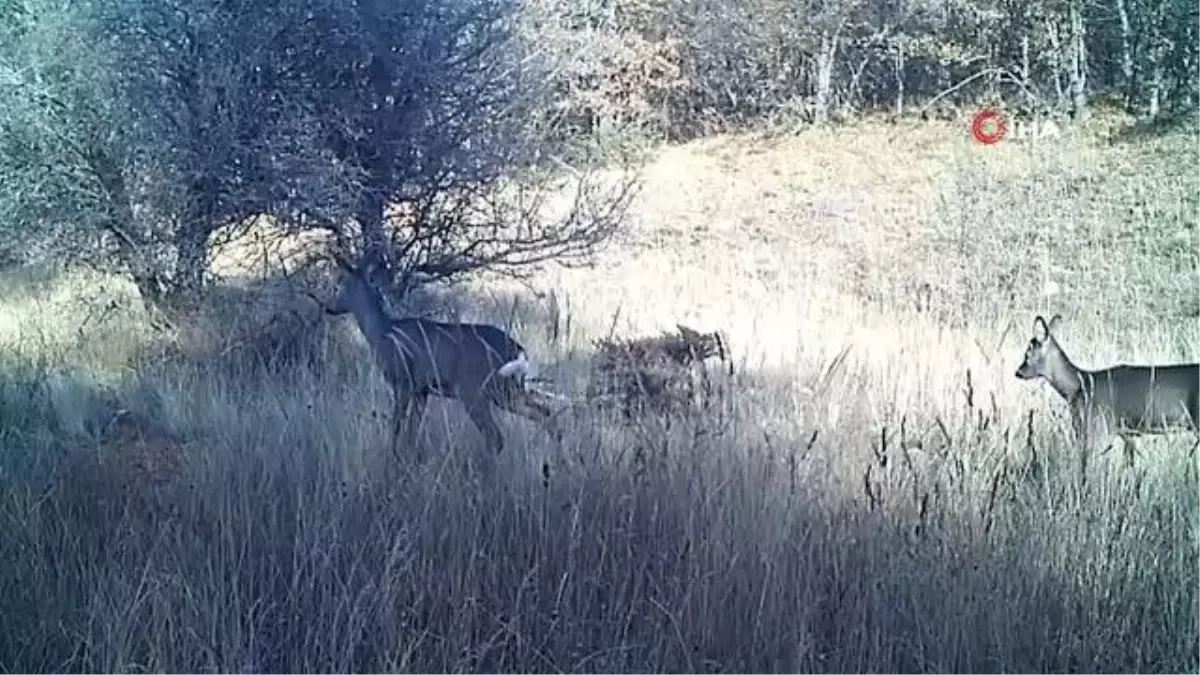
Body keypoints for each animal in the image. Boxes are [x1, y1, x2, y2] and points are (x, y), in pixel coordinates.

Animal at [326, 253, 564, 456]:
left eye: (339, 284)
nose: (329, 307)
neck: (384, 332)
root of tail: (518, 350)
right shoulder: (422, 390)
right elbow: (413, 430)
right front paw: (410, 456)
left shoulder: (403, 381)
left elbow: (396, 425)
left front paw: (393, 456)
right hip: (507, 390)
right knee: (546, 415)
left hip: (474, 390)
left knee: (495, 436)